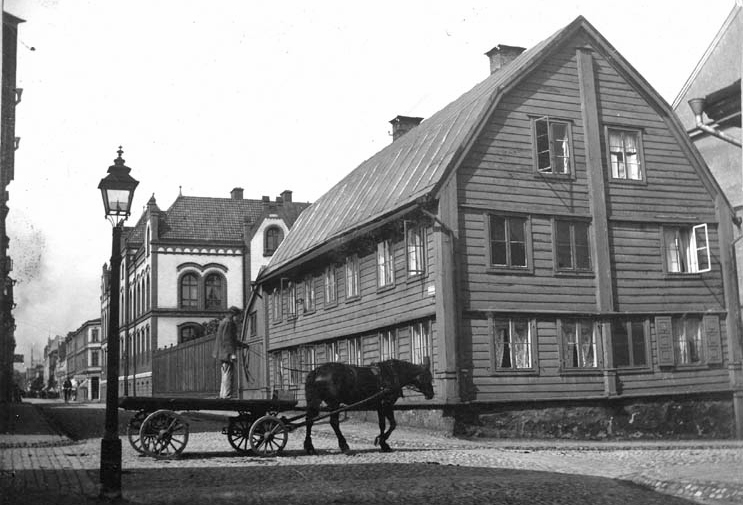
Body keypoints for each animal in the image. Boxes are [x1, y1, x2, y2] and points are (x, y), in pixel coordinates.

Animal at [304, 356, 436, 454]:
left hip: (314, 402)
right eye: (428, 376)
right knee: (334, 423)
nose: (431, 394)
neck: (392, 374)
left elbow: (382, 425)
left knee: (309, 420)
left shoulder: (379, 406)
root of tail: (316, 372)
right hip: (334, 403)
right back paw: (344, 445)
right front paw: (382, 441)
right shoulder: (387, 404)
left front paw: (382, 442)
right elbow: (392, 424)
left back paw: (309, 446)